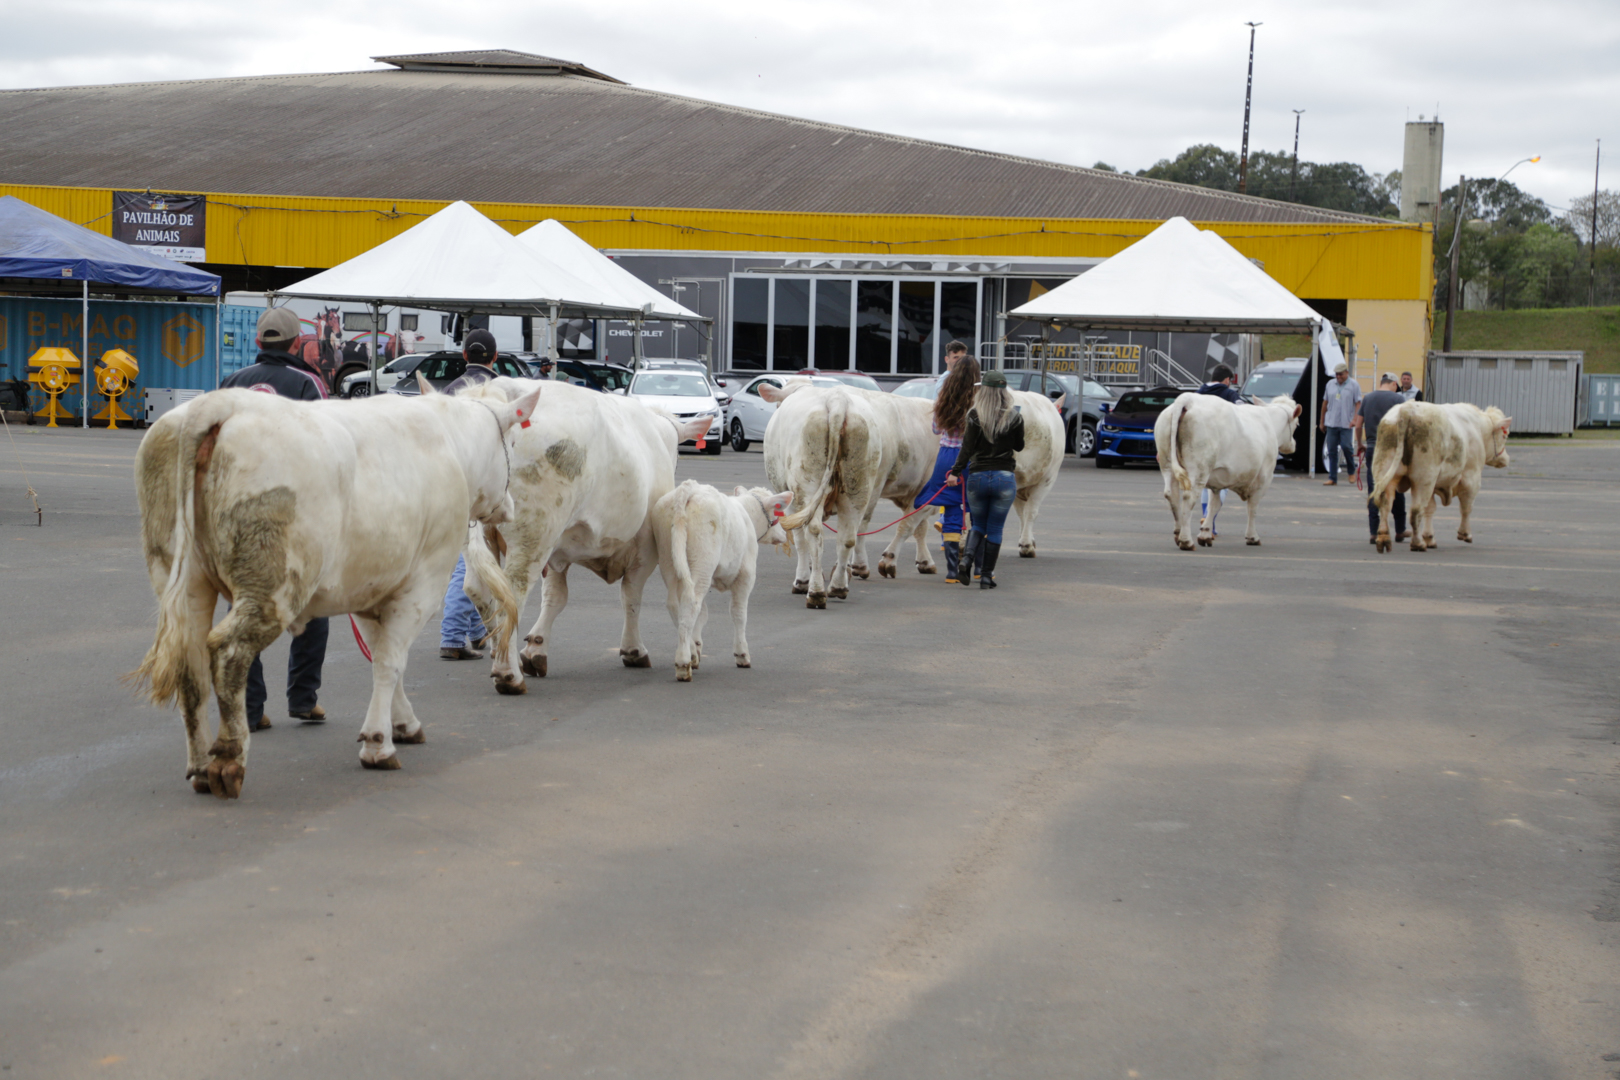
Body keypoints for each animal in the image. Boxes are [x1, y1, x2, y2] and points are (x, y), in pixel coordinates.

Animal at [131, 383, 537, 799]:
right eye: (513, 441)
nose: (509, 506)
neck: (452, 445)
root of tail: (220, 402)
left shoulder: (370, 590)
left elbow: (380, 655)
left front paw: (402, 723)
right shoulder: (422, 584)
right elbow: (391, 662)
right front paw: (378, 743)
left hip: (183, 581)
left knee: (191, 664)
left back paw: (199, 767)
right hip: (273, 588)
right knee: (228, 653)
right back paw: (228, 760)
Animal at [456, 375, 709, 696]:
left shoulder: (558, 550)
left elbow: (555, 597)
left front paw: (536, 649)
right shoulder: (645, 548)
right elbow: (631, 596)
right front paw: (634, 649)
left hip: (482, 536)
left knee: (477, 589)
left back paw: (498, 654)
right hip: (533, 536)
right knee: (512, 594)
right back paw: (508, 674)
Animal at [651, 479, 790, 680]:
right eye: (779, 512)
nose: (784, 535)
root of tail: (690, 487)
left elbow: (703, 614)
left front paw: (697, 645)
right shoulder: (746, 575)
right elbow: (738, 613)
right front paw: (742, 654)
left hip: (669, 560)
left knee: (676, 604)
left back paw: (691, 652)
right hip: (703, 562)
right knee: (691, 603)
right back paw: (684, 661)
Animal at [1373, 399, 1509, 553]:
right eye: (1504, 436)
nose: (1506, 459)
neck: (1478, 428)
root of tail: (1407, 408)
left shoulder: (1434, 485)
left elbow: (1430, 508)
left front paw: (1429, 538)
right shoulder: (1471, 478)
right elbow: (1466, 507)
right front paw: (1465, 534)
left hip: (1386, 471)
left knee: (1385, 504)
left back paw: (1384, 539)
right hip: (1423, 479)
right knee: (1415, 511)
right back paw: (1417, 543)